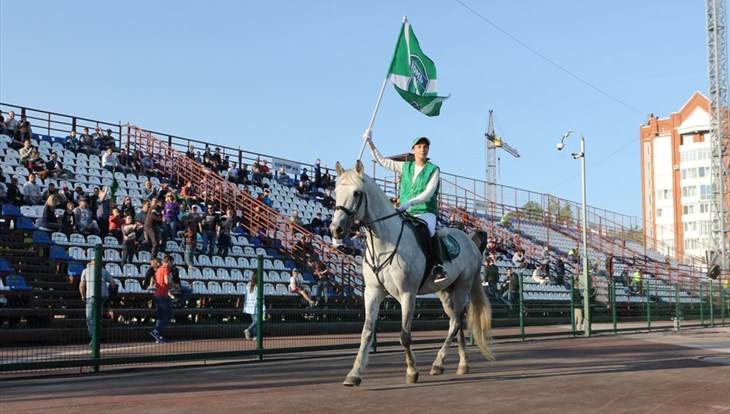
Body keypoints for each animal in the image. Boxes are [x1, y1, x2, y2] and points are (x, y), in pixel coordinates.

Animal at [332, 160, 494, 386]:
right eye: (336, 191)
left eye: (356, 193)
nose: (336, 229)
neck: (385, 241)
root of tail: (471, 242)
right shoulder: (372, 292)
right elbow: (366, 333)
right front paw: (354, 374)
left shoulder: (407, 293)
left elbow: (405, 336)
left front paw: (412, 371)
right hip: (445, 293)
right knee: (458, 323)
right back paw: (462, 364)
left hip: (462, 287)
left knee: (454, 323)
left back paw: (438, 363)